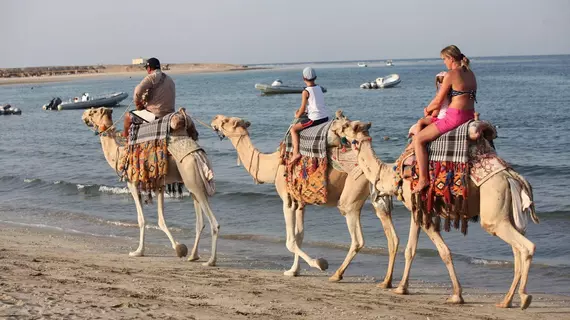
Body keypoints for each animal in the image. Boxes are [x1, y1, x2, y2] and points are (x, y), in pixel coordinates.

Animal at [82, 106, 220, 266]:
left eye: (93, 112)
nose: (84, 115)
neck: (119, 154)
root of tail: (198, 155)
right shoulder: (159, 185)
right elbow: (161, 220)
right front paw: (179, 248)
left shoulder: (132, 182)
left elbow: (141, 219)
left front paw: (138, 251)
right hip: (193, 183)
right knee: (199, 222)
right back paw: (193, 256)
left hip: (191, 177)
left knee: (214, 223)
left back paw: (210, 261)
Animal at [210, 114, 400, 284]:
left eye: (226, 120)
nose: (214, 119)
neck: (272, 166)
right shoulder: (300, 202)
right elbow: (299, 236)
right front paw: (293, 271)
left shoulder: (287, 200)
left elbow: (290, 241)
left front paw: (319, 263)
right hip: (375, 195)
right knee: (391, 237)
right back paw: (387, 282)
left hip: (352, 192)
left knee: (357, 238)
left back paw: (337, 275)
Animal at [336, 120, 540, 310]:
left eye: (346, 125)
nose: (336, 129)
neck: (394, 176)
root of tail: (512, 176)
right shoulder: (418, 210)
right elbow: (417, 250)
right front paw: (405, 287)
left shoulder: (419, 209)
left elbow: (437, 251)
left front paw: (453, 295)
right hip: (507, 214)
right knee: (516, 250)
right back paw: (506, 301)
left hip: (494, 213)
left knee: (525, 247)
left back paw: (524, 297)